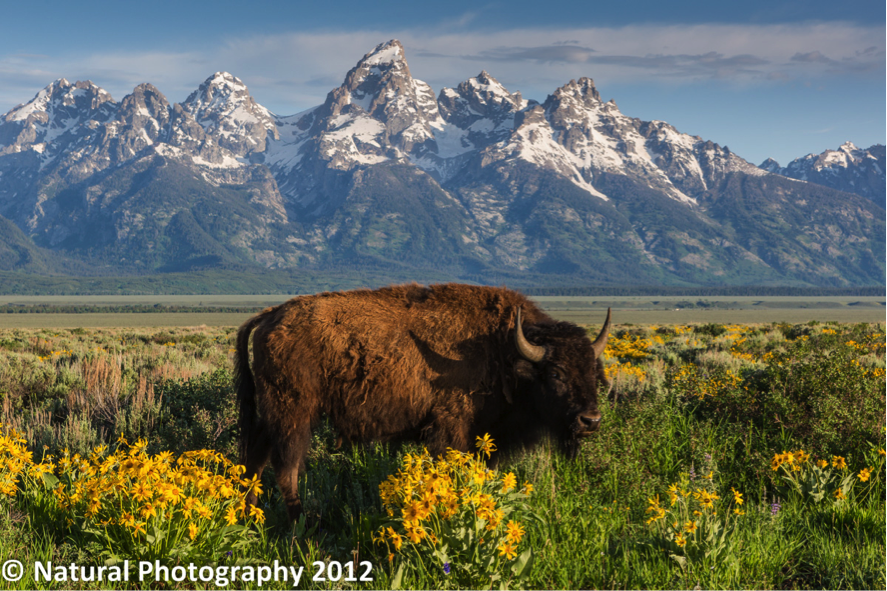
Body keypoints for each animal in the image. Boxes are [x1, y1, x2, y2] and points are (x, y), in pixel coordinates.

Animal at [236, 284, 612, 520]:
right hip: (295, 413)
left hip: (272, 414)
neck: (503, 350)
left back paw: (250, 518)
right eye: (556, 374)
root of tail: (272, 314)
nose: (590, 421)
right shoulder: (451, 431)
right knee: (286, 468)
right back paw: (303, 528)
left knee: (255, 459)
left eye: (594, 372)